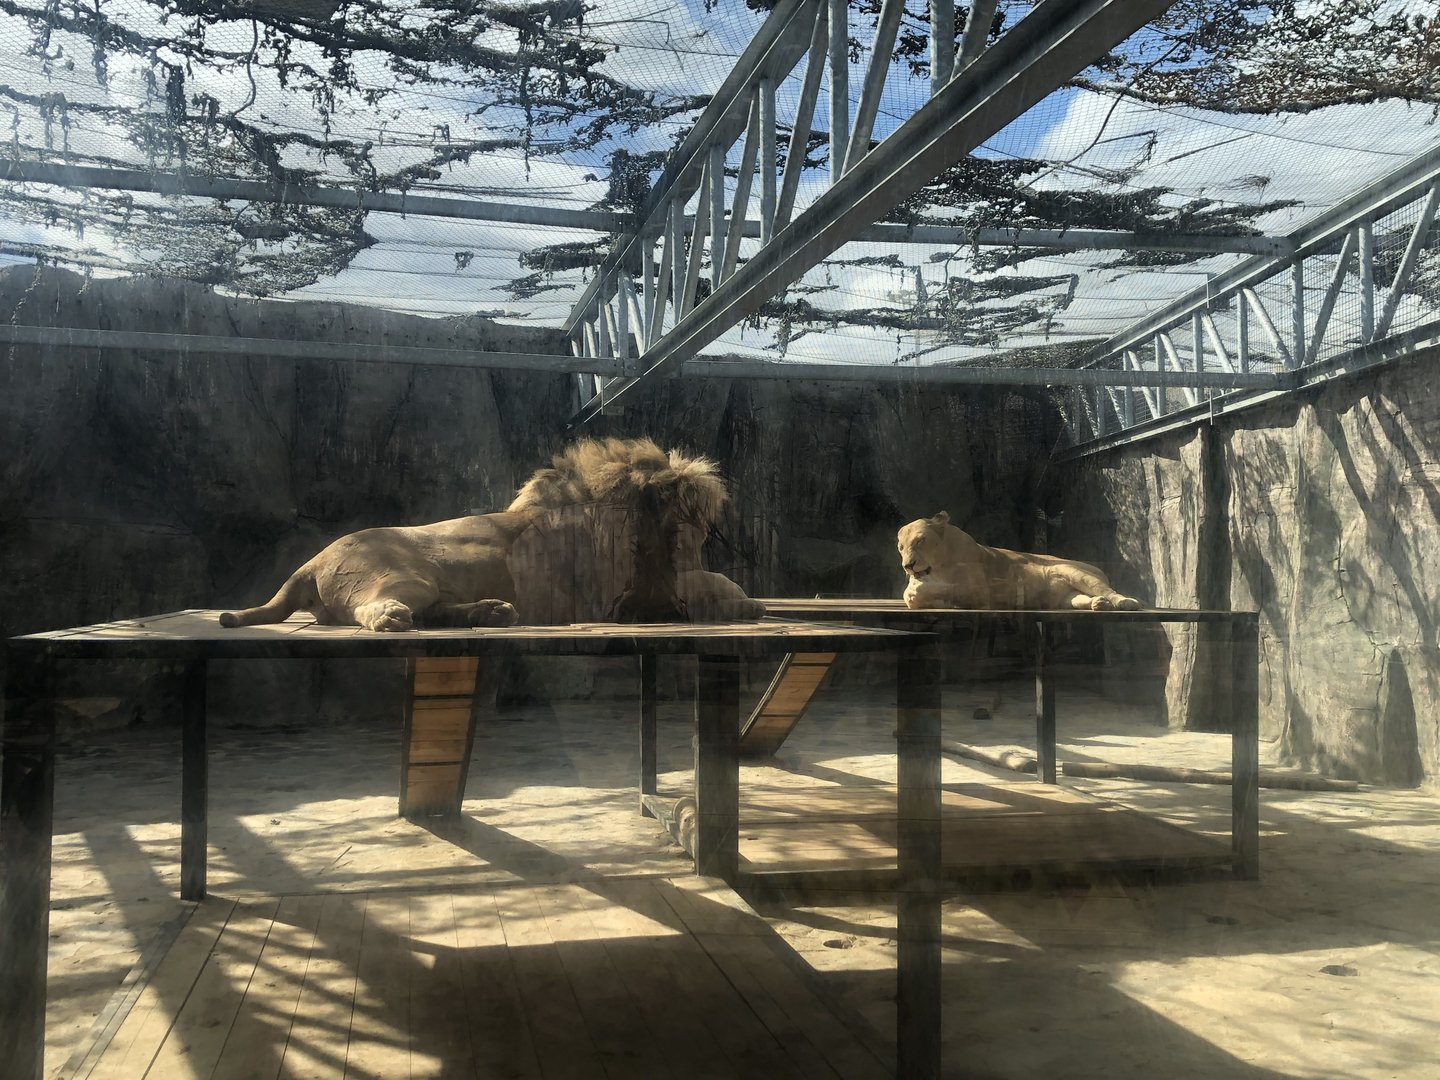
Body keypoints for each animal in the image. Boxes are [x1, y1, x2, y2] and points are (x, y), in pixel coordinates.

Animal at [219, 437, 765, 631]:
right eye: (691, 532)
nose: (695, 549)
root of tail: (309, 562)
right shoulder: (635, 594)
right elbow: (714, 584)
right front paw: (747, 601)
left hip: (432, 588)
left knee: (437, 612)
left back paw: (493, 612)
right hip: (404, 578)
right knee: (372, 609)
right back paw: (394, 617)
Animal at [897, 511, 1141, 611]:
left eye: (920, 541)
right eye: (901, 547)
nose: (907, 566)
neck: (936, 569)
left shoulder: (979, 590)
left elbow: (945, 588)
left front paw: (921, 591)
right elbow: (910, 596)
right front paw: (917, 593)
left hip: (1074, 571)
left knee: (1109, 591)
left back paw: (1125, 602)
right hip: (1065, 598)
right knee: (1079, 599)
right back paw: (1098, 604)